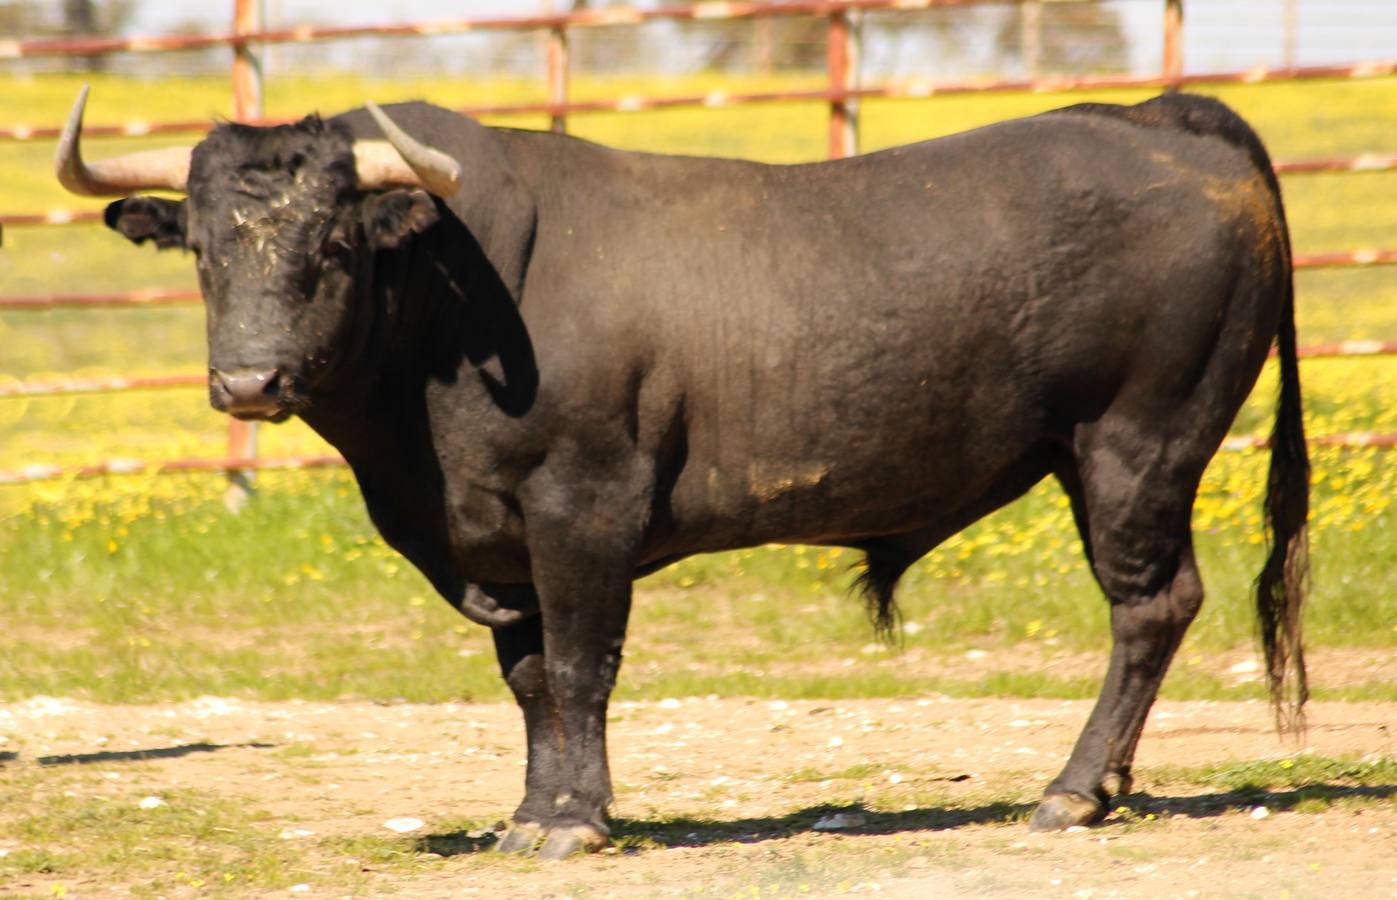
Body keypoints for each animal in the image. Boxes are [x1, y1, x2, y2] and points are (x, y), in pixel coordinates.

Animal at [65, 91, 1307, 855]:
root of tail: (1160, 117)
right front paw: (529, 811)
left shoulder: (581, 506)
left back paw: (1070, 791)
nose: (248, 381)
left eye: (329, 247)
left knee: (1150, 607)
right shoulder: (497, 540)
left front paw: (574, 820)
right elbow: (529, 681)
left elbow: (579, 667)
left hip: (1135, 445)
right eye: (203, 253)